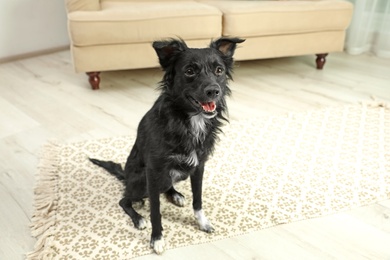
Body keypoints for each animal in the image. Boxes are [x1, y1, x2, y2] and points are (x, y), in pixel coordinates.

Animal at [90, 37, 245, 254]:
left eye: (219, 70)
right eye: (189, 71)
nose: (214, 91)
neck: (190, 121)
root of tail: (126, 177)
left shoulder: (199, 166)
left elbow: (198, 200)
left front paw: (202, 223)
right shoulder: (153, 172)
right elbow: (155, 211)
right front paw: (156, 239)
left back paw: (175, 195)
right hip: (144, 180)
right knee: (124, 199)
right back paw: (138, 218)